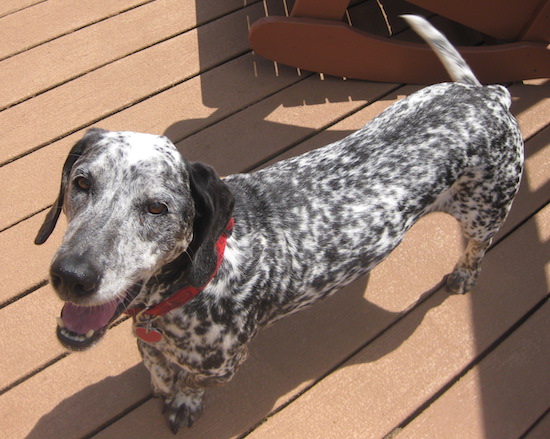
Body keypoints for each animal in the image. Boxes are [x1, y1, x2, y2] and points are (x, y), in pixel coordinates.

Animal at [35, 15, 528, 434]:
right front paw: (163, 385)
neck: (202, 279)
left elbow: (190, 384)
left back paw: (463, 276)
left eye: (157, 208)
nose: (71, 276)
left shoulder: (223, 367)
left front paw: (183, 402)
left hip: (485, 213)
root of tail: (489, 96)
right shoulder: (153, 343)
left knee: (476, 250)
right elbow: (158, 368)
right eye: (82, 182)